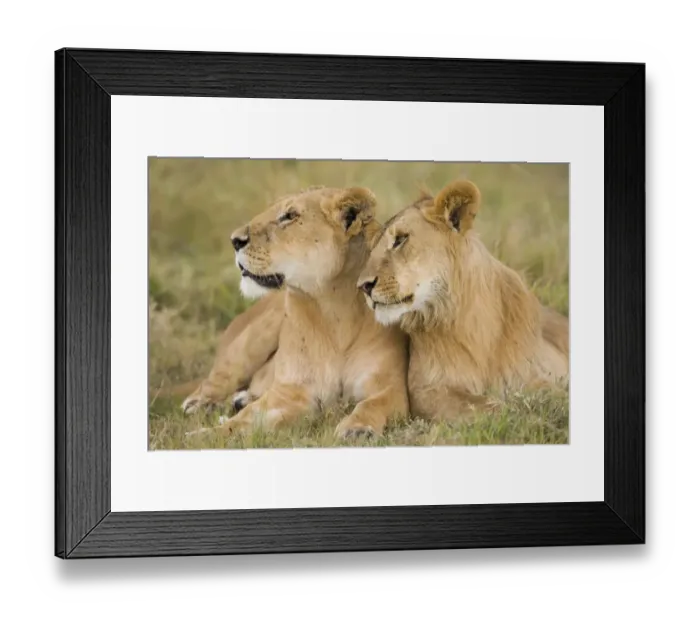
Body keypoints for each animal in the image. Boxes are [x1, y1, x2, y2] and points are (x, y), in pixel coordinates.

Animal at [191, 185, 409, 439]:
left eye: (289, 216)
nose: (234, 240)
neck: (333, 310)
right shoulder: (288, 392)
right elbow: (243, 420)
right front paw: (204, 436)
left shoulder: (390, 386)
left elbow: (371, 404)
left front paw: (356, 428)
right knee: (214, 381)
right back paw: (201, 405)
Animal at [357, 179, 569, 420]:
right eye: (372, 250)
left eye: (400, 239)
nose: (363, 286)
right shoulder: (426, 389)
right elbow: (489, 407)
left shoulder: (536, 374)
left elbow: (553, 395)